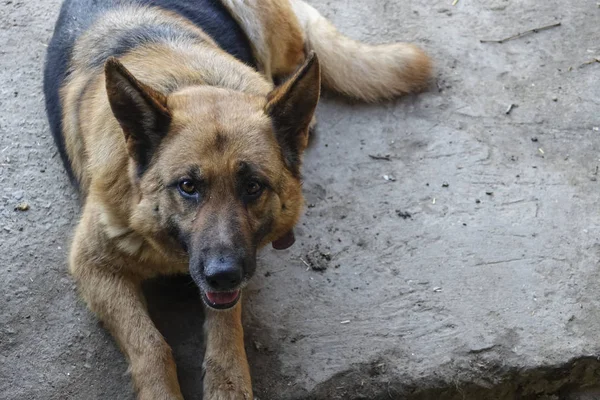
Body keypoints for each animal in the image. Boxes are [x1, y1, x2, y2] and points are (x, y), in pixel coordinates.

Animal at [44, 0, 432, 396]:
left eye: (253, 186)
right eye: (188, 186)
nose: (223, 276)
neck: (189, 81)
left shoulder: (236, 271)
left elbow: (226, 326)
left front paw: (227, 384)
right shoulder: (94, 267)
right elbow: (150, 344)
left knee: (297, 59)